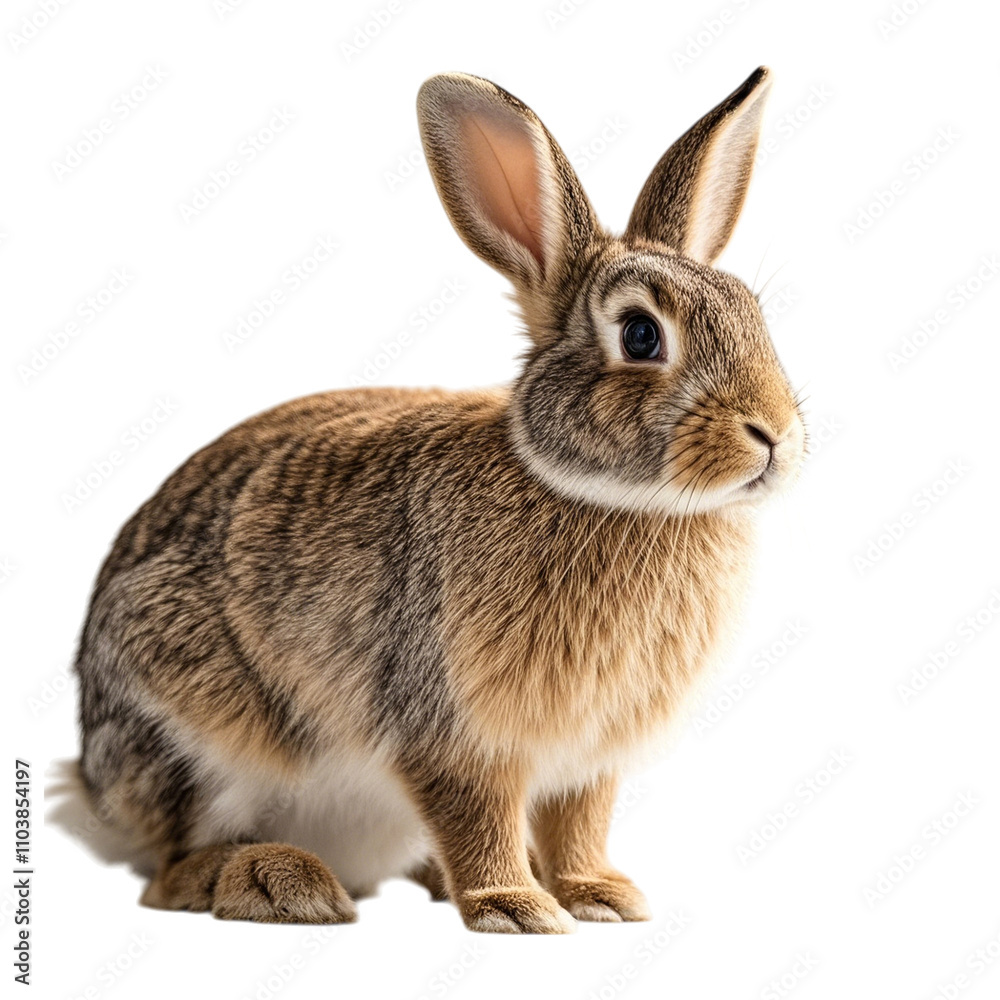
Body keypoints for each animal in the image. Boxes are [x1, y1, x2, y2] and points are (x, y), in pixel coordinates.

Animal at [73, 66, 805, 933]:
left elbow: (580, 821)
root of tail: (92, 789)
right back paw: (275, 880)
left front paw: (600, 896)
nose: (775, 432)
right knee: (168, 868)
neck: (610, 498)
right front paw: (513, 908)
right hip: (198, 739)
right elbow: (475, 815)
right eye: (640, 335)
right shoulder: (450, 727)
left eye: (753, 313)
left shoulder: (590, 758)